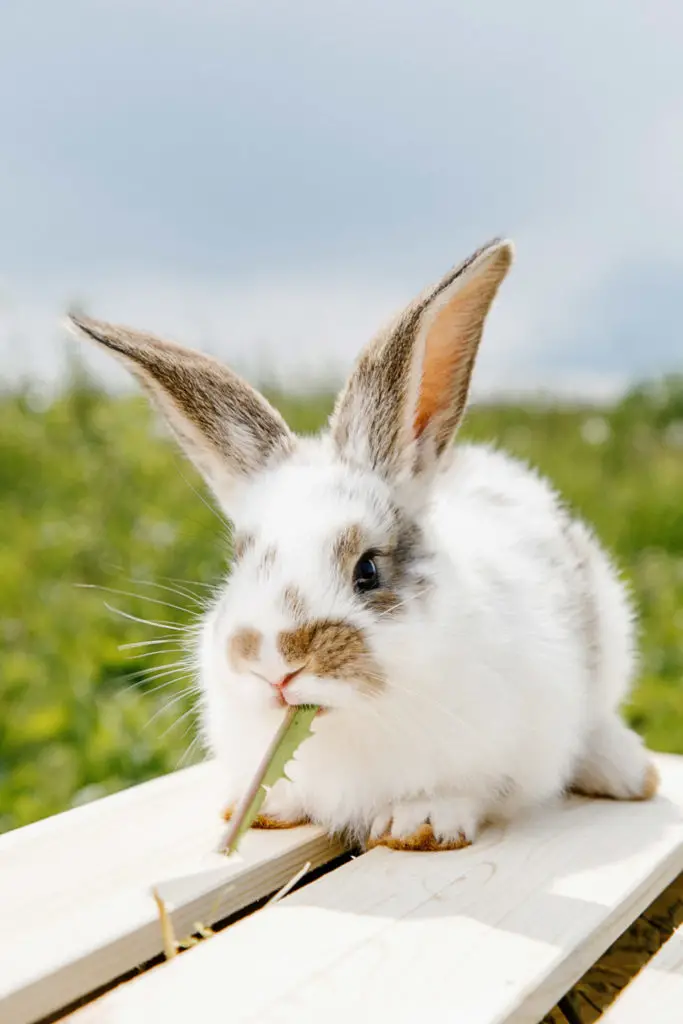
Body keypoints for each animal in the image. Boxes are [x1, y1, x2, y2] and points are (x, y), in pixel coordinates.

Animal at [69, 237, 655, 847]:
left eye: (367, 570)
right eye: (240, 561)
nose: (274, 666)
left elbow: (470, 790)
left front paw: (419, 822)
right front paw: (267, 807)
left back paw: (627, 773)